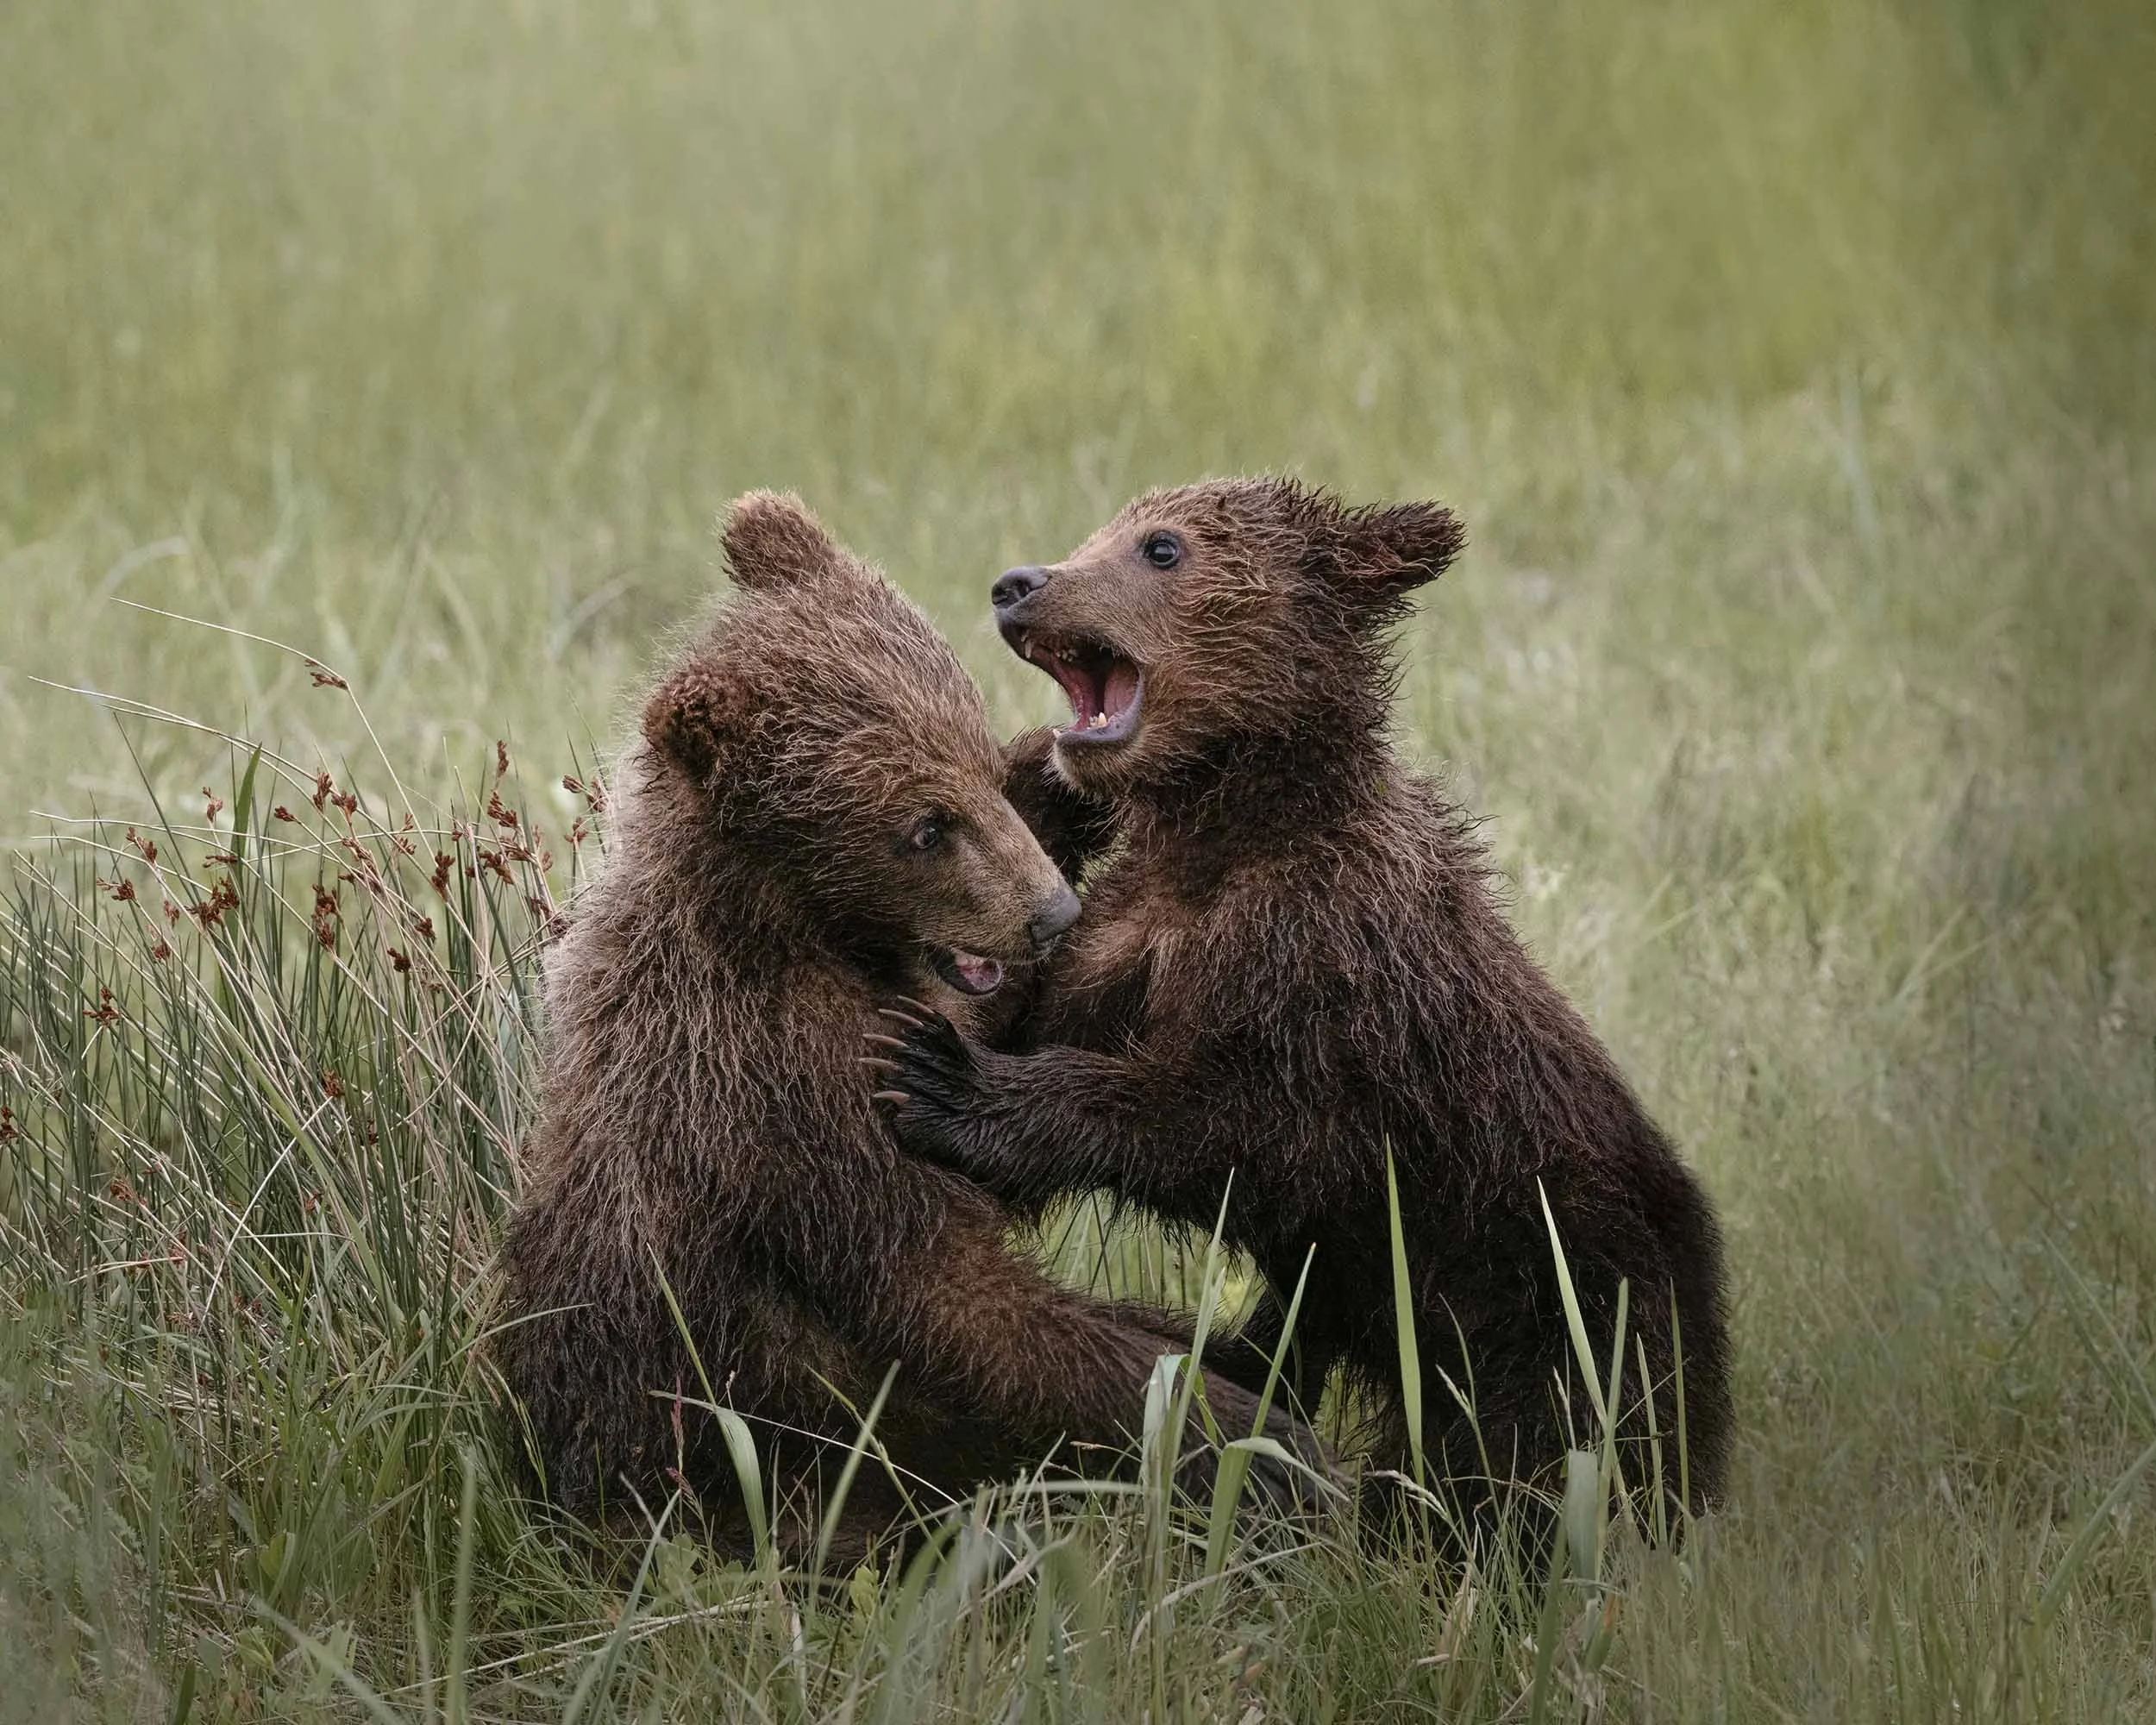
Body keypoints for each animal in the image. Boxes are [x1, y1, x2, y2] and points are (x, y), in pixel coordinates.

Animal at [496, 491, 1324, 1560]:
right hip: (764, 1468)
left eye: (974, 761)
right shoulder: (780, 1080)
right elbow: (953, 1293)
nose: (1050, 913)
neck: (801, 930)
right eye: (924, 826)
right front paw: (1251, 1440)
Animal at [871, 476, 1733, 1538]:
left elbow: (1246, 1126)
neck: (1229, 829)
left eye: (1162, 547)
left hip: (1559, 1296)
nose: (1019, 584)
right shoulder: (1126, 943)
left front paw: (952, 1081)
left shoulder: (1333, 975)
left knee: (1534, 1462)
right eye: (1103, 529)